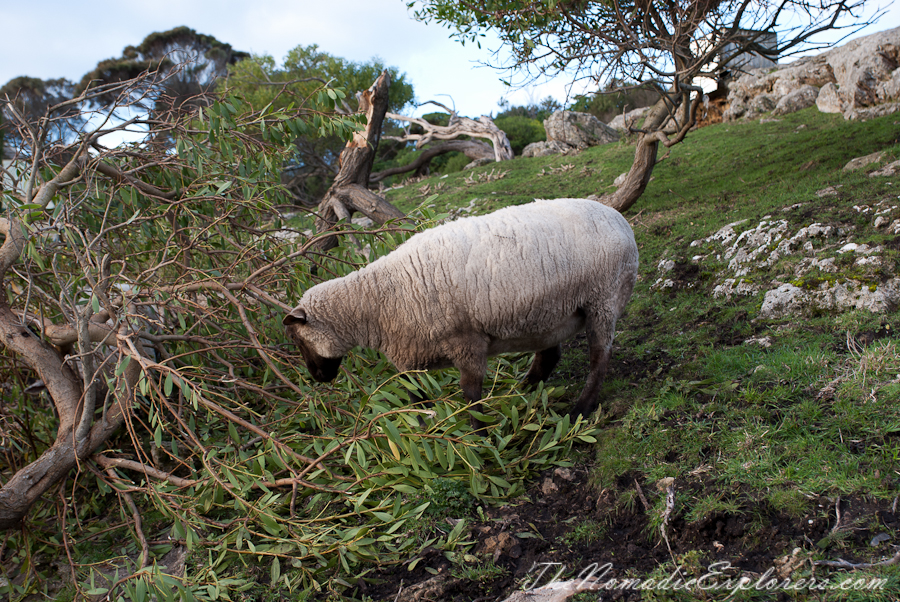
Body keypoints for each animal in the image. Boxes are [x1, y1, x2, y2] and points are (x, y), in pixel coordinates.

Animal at [284, 197, 636, 422]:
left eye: (298, 340)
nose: (318, 378)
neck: (379, 299)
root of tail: (620, 221)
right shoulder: (414, 354)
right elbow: (415, 396)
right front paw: (422, 428)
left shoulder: (466, 340)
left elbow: (469, 392)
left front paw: (478, 435)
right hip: (549, 314)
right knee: (550, 355)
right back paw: (520, 392)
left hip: (602, 299)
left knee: (599, 358)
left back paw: (580, 410)